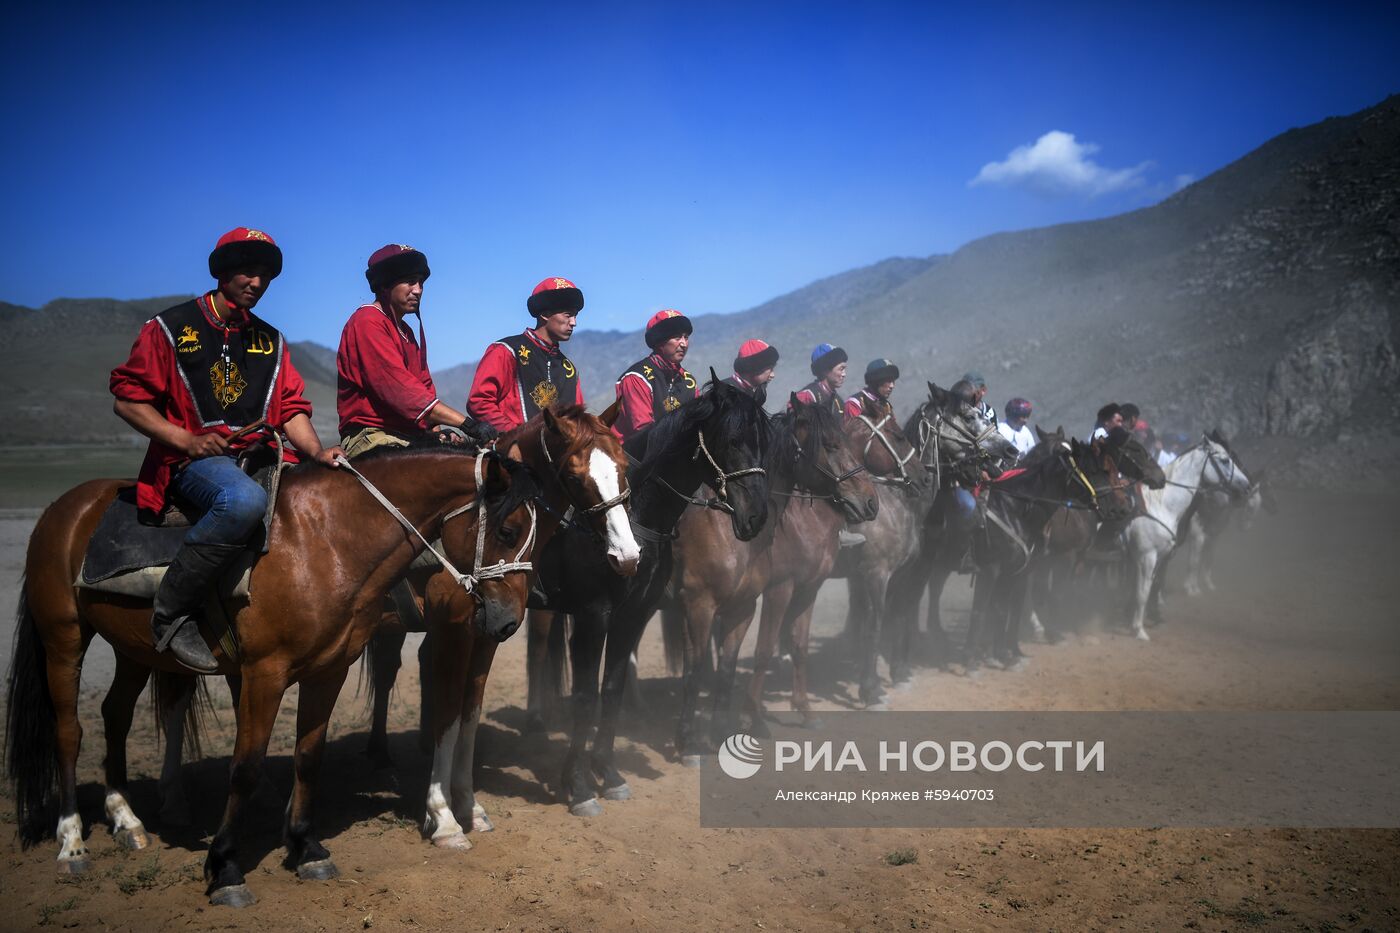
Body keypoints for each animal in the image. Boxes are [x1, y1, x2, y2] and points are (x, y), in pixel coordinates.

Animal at [5, 448, 537, 902]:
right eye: (508, 531)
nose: (510, 620)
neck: (327, 541)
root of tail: (63, 508)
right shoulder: (265, 673)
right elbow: (244, 767)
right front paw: (224, 867)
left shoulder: (330, 671)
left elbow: (308, 757)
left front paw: (306, 848)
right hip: (64, 638)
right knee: (69, 732)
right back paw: (72, 841)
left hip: (132, 649)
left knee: (115, 714)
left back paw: (126, 819)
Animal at [666, 392, 873, 756]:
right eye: (831, 445)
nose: (870, 501)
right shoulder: (770, 591)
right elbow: (759, 652)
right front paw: (752, 720)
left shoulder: (803, 591)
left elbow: (796, 647)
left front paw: (804, 711)